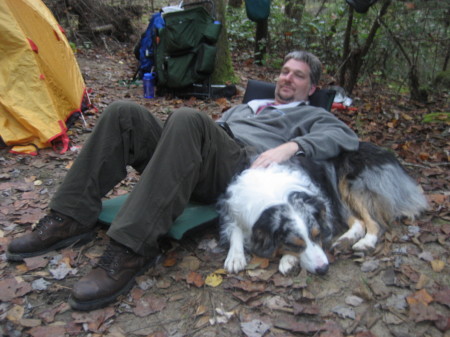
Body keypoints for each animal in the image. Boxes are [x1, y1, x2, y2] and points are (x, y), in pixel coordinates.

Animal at [219, 142, 428, 276]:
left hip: (349, 184)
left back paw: (365, 242)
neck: (273, 192)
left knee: (375, 222)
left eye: (317, 235)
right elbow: (235, 230)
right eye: (294, 244)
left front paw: (288, 260)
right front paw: (235, 257)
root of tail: (387, 154)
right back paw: (344, 241)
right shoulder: (233, 207)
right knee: (358, 222)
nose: (323, 269)